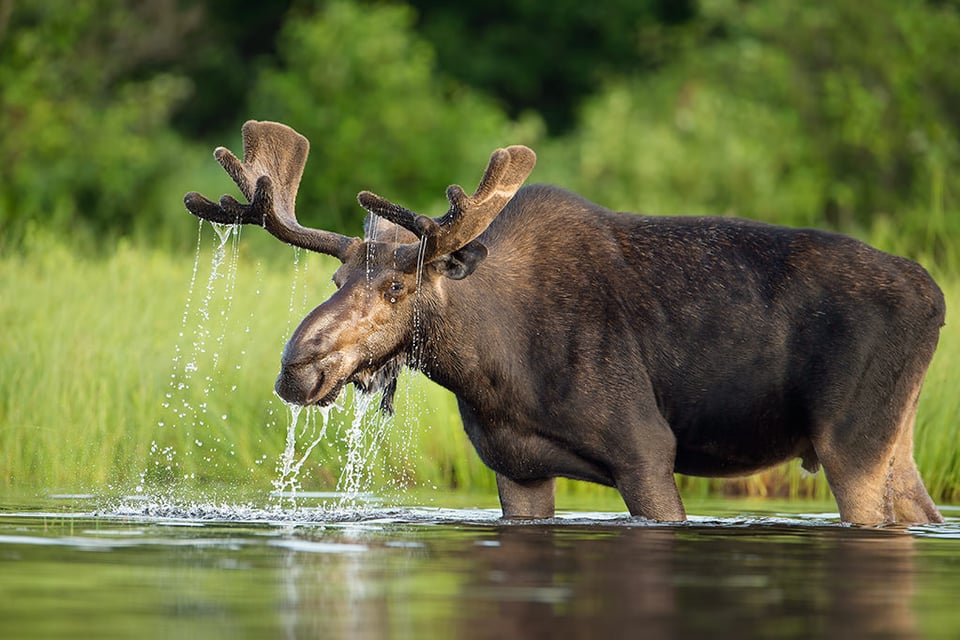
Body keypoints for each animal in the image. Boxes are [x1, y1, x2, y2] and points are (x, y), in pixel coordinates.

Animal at [184, 120, 948, 524]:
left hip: (849, 442)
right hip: (894, 439)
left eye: (398, 287)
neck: (493, 369)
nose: (297, 367)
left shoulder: (647, 452)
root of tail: (937, 298)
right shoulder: (516, 469)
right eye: (338, 281)